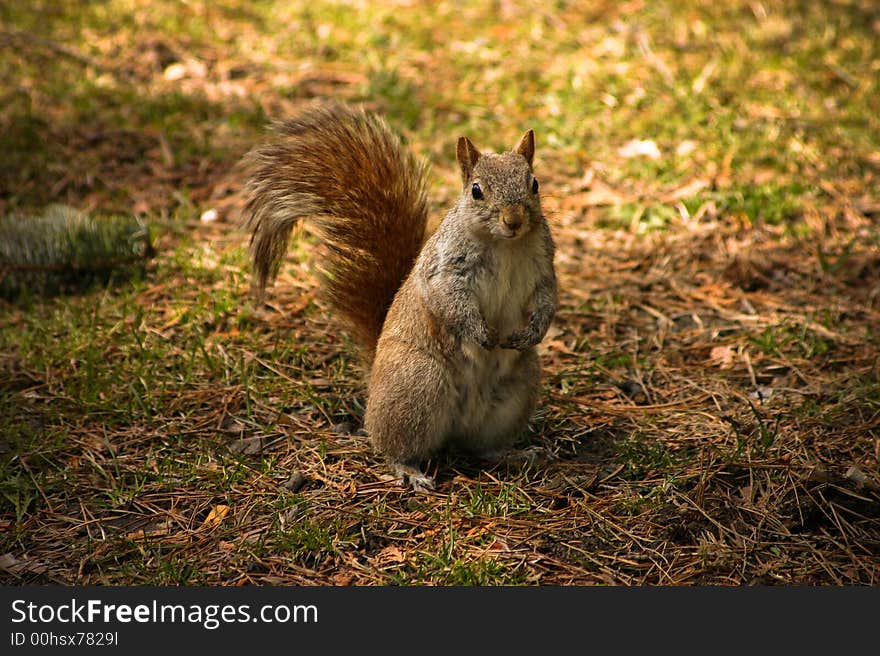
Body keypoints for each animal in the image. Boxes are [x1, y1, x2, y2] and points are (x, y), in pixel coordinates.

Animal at [241, 102, 556, 490]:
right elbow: (451, 301)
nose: (514, 220)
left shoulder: (543, 266)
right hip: (417, 382)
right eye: (476, 191)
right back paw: (409, 470)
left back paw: (515, 454)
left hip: (515, 390)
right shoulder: (446, 269)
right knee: (395, 446)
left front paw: (534, 331)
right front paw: (480, 333)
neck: (505, 245)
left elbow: (547, 298)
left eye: (534, 184)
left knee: (481, 446)